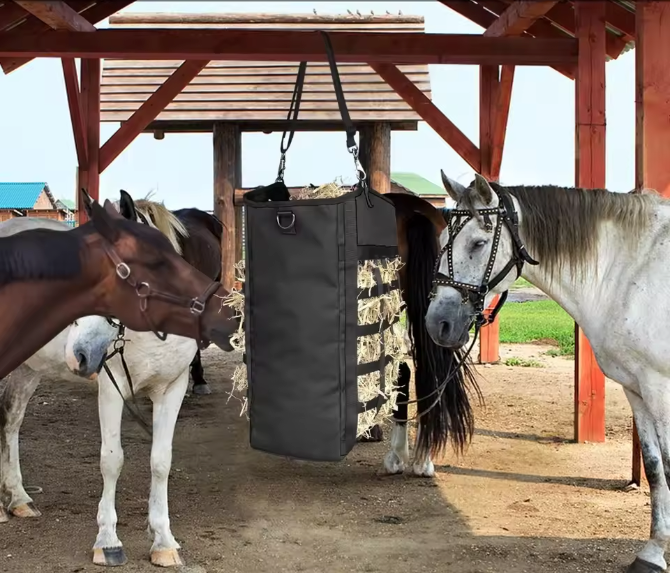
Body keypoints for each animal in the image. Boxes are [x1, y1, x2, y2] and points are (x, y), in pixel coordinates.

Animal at [426, 172, 669, 573]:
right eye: (445, 239)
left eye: (478, 243)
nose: (438, 324)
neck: (635, 270)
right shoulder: (638, 390)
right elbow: (654, 466)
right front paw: (652, 553)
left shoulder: (661, 390)